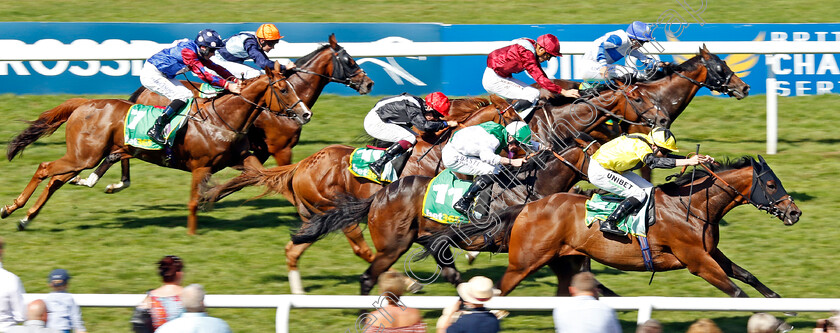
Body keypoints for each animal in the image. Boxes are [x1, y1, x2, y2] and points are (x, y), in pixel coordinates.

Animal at [0, 63, 308, 233]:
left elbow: (276, 181)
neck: (222, 118)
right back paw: (11, 209)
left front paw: (306, 216)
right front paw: (192, 235)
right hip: (84, 156)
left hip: (83, 156)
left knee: (55, 181)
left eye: (293, 87)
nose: (305, 114)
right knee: (44, 169)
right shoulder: (201, 166)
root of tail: (84, 104)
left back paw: (26, 219)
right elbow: (193, 201)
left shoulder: (242, 158)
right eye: (283, 89)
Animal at [69, 33, 374, 192]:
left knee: (122, 152)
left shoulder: (250, 151)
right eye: (349, 60)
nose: (369, 83)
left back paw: (110, 182)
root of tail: (143, 89)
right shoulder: (281, 148)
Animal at [201, 95, 520, 294]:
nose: (523, 148)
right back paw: (406, 283)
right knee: (362, 249)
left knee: (294, 248)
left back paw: (298, 291)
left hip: (314, 218)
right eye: (514, 115)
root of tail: (302, 165)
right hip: (338, 212)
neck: (442, 149)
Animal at [286, 134, 600, 294]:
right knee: (369, 277)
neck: (531, 185)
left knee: (450, 271)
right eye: (600, 156)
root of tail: (378, 196)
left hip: (430, 240)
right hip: (393, 246)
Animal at [434, 154, 800, 296]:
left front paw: (781, 307)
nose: (794, 213)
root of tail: (529, 206)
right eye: (771, 185)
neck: (692, 206)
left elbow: (747, 276)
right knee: (501, 290)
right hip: (524, 262)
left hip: (568, 259)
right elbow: (736, 290)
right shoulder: (696, 260)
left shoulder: (711, 252)